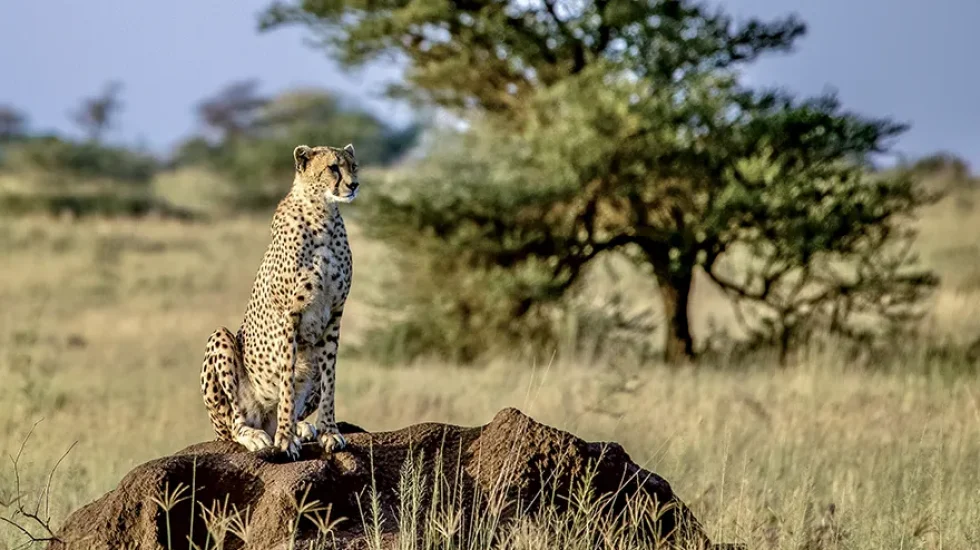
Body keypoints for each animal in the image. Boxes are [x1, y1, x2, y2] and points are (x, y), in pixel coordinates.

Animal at [200, 143, 359, 460]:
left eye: (353, 166)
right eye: (333, 167)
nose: (354, 185)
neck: (322, 213)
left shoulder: (335, 314)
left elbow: (330, 379)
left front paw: (328, 431)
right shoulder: (289, 314)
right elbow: (286, 380)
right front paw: (285, 440)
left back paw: (302, 427)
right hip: (220, 341)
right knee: (234, 423)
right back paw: (258, 435)